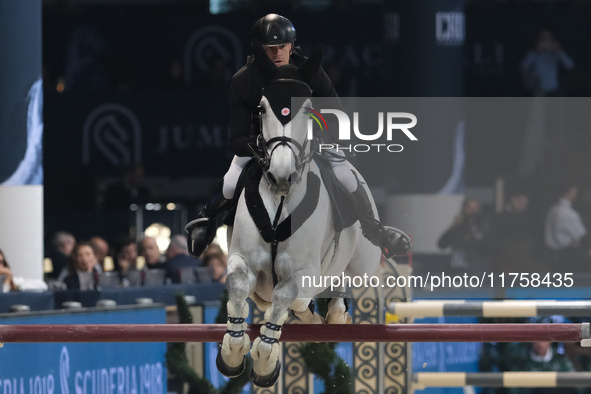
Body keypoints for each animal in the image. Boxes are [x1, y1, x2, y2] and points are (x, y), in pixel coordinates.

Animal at [219, 44, 384, 386]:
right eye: (262, 109)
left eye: (307, 110)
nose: (282, 177)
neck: (281, 200)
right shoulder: (241, 259)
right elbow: (241, 286)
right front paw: (233, 353)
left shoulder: (304, 272)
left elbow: (287, 293)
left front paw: (265, 361)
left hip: (362, 265)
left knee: (338, 289)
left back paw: (335, 313)